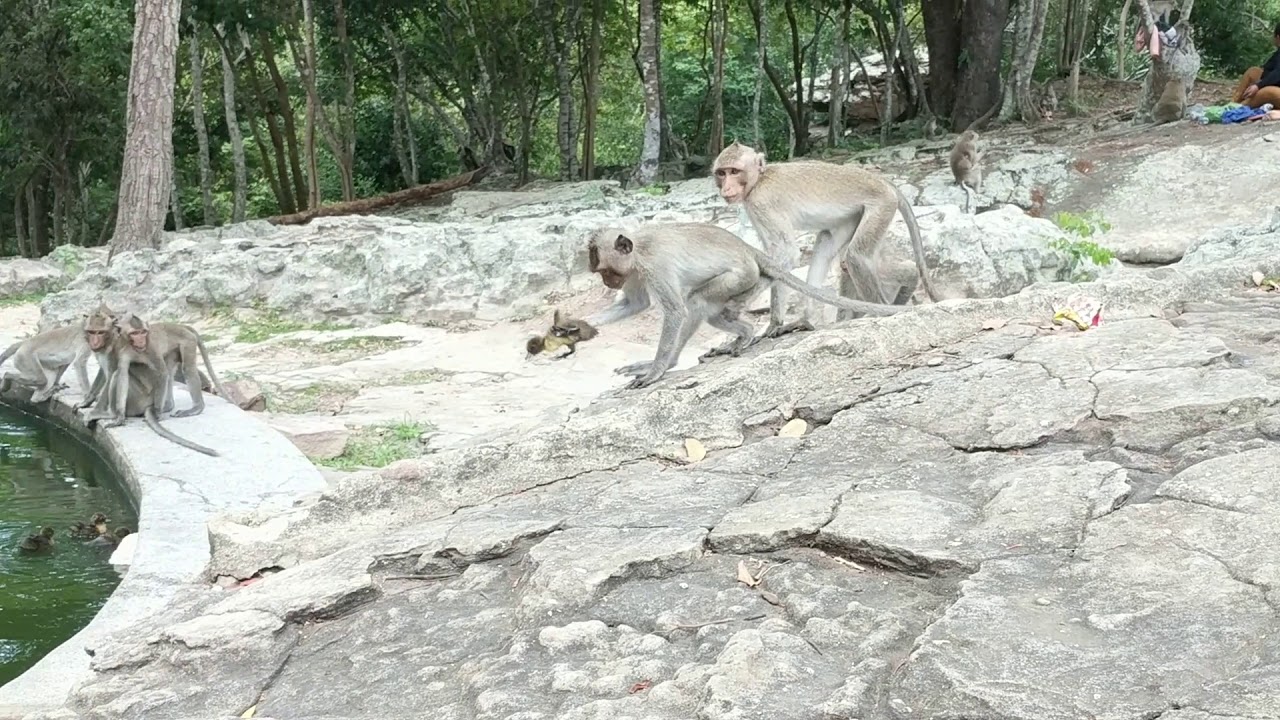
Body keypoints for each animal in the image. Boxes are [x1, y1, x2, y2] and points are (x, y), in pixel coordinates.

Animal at [84, 311, 219, 457]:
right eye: (92, 332)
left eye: (142, 332)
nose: (141, 340)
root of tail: (181, 326)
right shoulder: (123, 353)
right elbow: (123, 374)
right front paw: (117, 415)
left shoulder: (147, 348)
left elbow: (160, 373)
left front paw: (98, 411)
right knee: (168, 369)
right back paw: (167, 405)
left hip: (186, 342)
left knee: (185, 369)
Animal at [583, 223, 909, 389]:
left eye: (605, 271)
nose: (608, 282)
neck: (639, 247)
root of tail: (751, 251)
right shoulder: (635, 272)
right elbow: (635, 303)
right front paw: (581, 324)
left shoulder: (654, 265)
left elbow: (675, 311)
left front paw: (656, 370)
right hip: (753, 281)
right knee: (713, 311)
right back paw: (743, 332)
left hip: (742, 277)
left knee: (696, 302)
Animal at [711, 142, 939, 341]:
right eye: (722, 173)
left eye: (734, 171)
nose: (726, 188)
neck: (760, 179)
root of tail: (880, 180)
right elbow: (777, 258)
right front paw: (774, 323)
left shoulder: (760, 202)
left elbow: (787, 253)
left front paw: (738, 308)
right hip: (851, 219)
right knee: (828, 247)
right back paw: (806, 320)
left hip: (882, 204)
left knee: (855, 256)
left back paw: (883, 308)